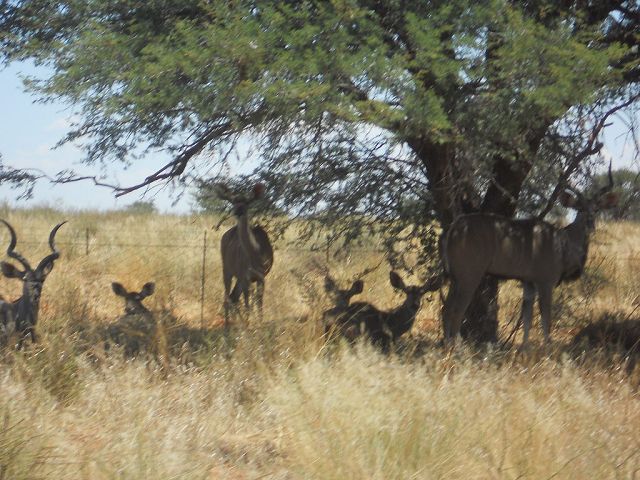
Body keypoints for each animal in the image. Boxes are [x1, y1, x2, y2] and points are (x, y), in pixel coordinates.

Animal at [216, 183, 274, 326]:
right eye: (232, 201)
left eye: (247, 202)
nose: (238, 211)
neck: (257, 254)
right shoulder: (246, 276)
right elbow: (248, 301)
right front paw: (248, 325)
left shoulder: (261, 276)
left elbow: (259, 301)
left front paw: (259, 323)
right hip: (227, 270)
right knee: (228, 296)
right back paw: (227, 325)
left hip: (238, 277)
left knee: (233, 297)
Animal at [442, 165, 616, 344]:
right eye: (579, 208)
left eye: (596, 209)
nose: (590, 223)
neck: (562, 241)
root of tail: (454, 227)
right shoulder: (545, 283)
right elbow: (546, 320)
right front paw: (546, 348)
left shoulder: (528, 284)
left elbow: (527, 319)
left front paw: (525, 348)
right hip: (470, 277)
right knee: (457, 311)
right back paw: (457, 347)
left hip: (455, 278)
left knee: (446, 309)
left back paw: (447, 345)